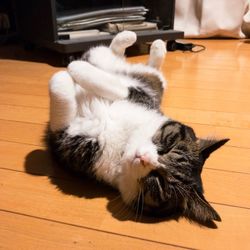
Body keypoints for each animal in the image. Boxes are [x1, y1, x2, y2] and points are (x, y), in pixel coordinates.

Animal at [46, 30, 229, 224]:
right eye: (168, 147)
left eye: (159, 181)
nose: (143, 158)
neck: (124, 142)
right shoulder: (136, 94)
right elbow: (112, 86)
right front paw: (74, 67)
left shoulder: (68, 144)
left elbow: (60, 88)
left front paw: (66, 73)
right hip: (114, 64)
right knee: (126, 59)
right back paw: (140, 39)